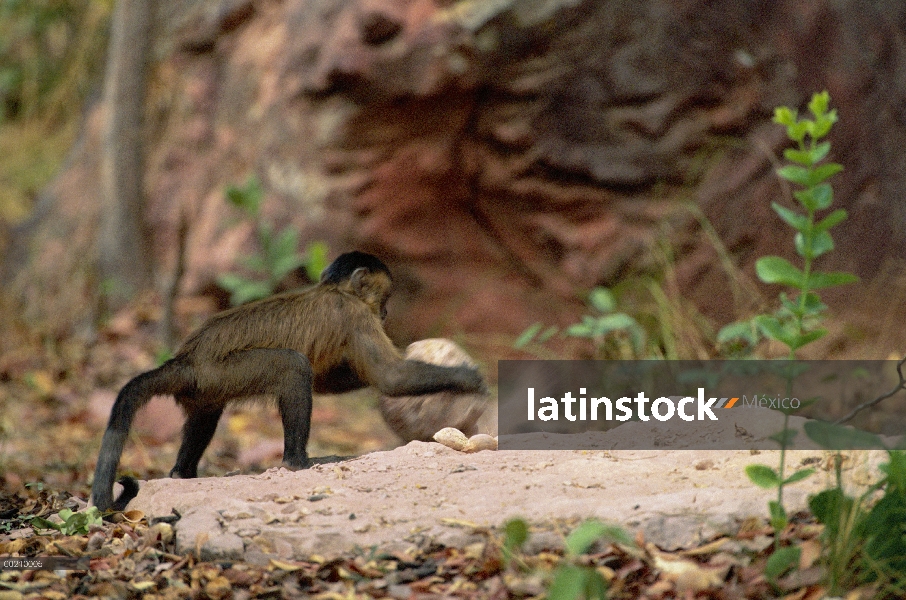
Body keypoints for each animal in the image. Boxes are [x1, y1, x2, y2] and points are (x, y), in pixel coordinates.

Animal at [92, 251, 484, 508]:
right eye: (384, 298)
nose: (386, 312)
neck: (333, 290)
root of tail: (186, 358)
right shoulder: (354, 314)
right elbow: (391, 377)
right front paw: (465, 378)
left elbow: (333, 378)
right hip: (220, 370)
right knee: (292, 366)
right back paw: (297, 461)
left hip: (206, 385)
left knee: (207, 414)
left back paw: (180, 474)